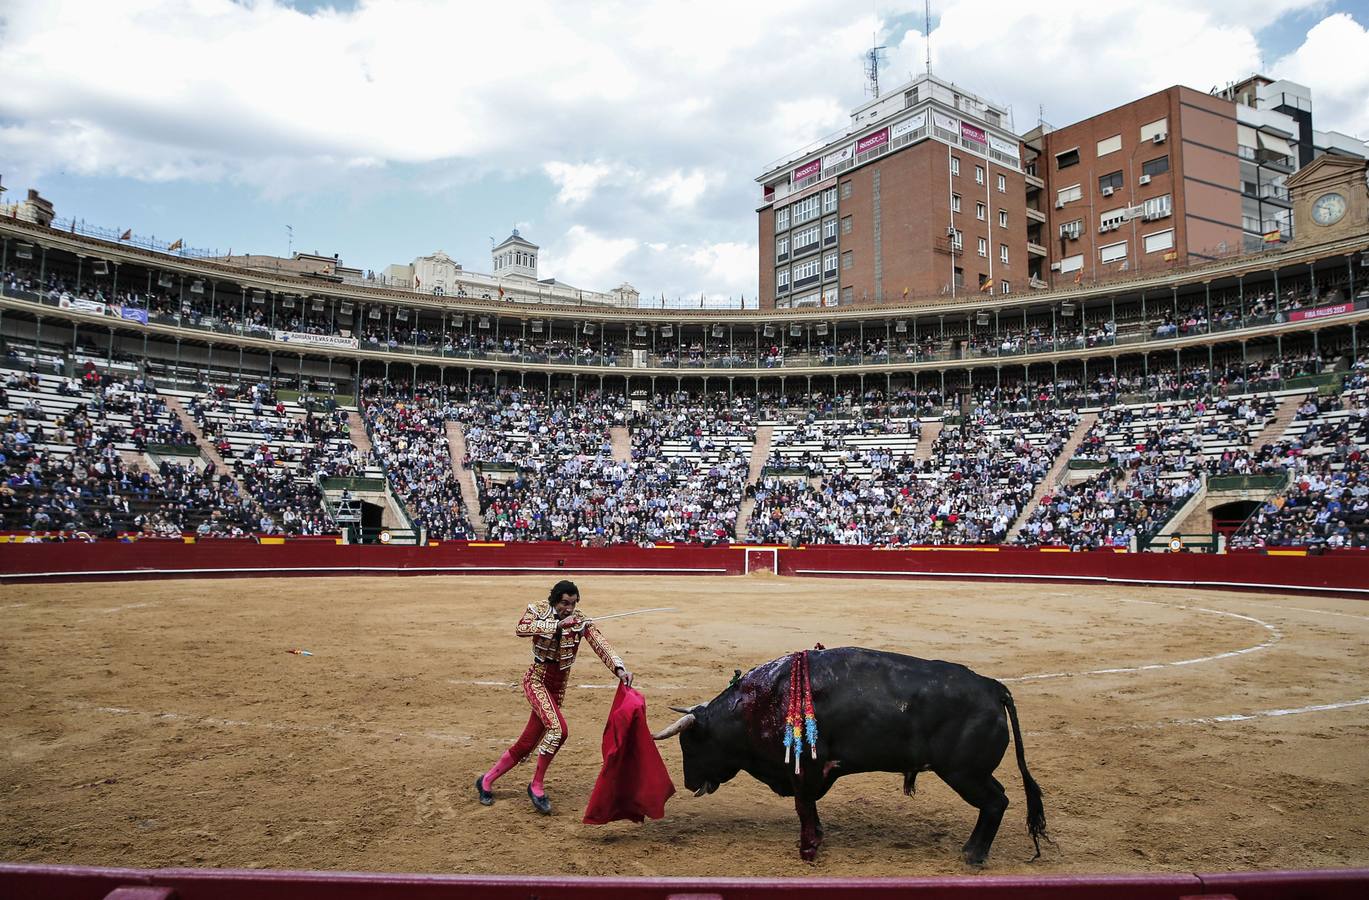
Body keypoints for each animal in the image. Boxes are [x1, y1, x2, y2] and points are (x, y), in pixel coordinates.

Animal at [651, 646, 1045, 865]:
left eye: (690, 744)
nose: (688, 782)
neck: (757, 702)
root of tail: (992, 687)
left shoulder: (804, 769)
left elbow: (803, 805)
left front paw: (809, 847)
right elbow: (808, 805)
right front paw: (817, 837)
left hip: (964, 773)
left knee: (995, 803)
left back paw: (972, 855)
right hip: (972, 773)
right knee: (997, 800)